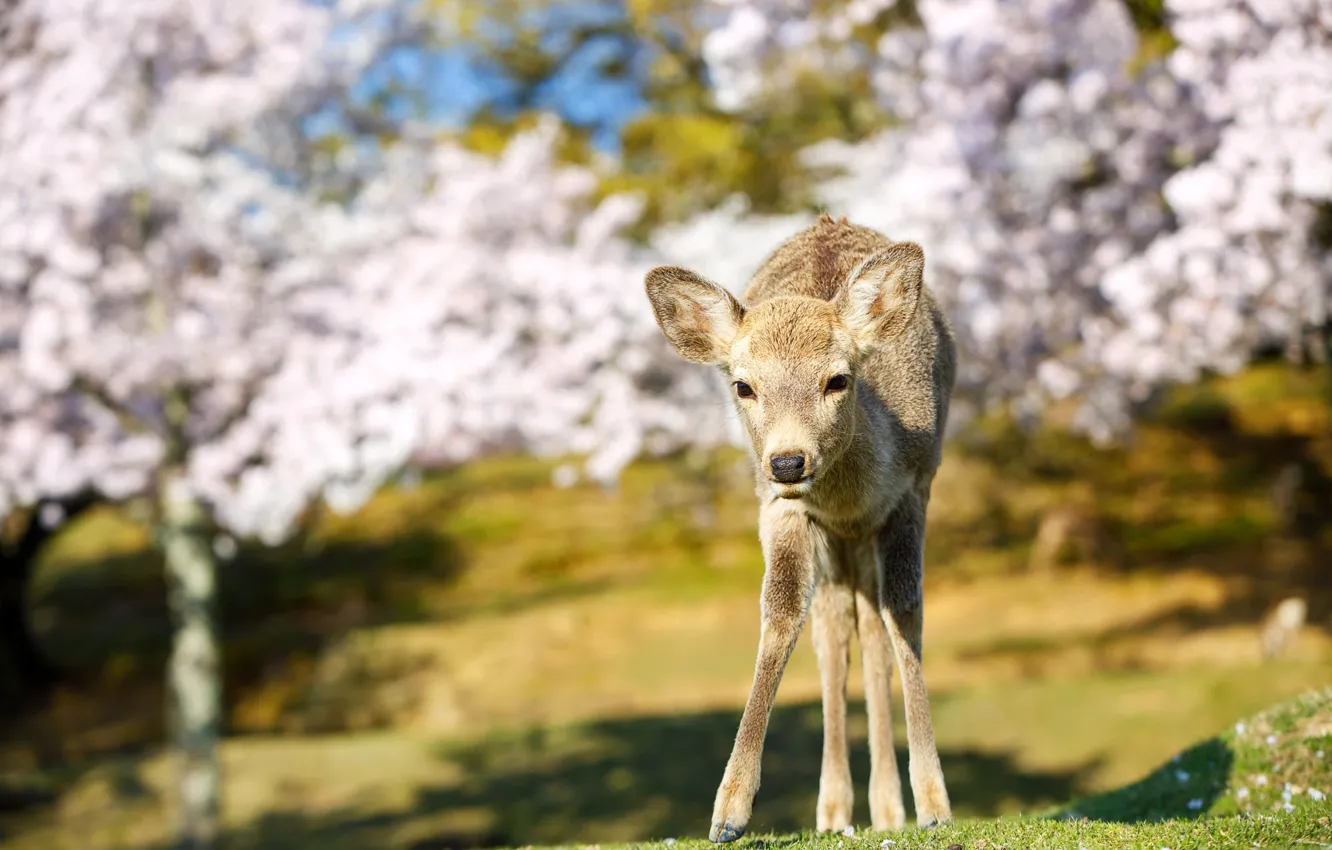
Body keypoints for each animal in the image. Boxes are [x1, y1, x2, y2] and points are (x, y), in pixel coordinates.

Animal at [647, 215, 953, 842]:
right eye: (742, 385)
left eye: (838, 379)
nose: (788, 462)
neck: (853, 495)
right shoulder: (782, 509)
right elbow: (783, 614)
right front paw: (728, 813)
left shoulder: (913, 489)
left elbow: (906, 612)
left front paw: (935, 803)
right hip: (833, 548)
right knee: (834, 630)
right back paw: (836, 812)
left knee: (873, 628)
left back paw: (888, 809)